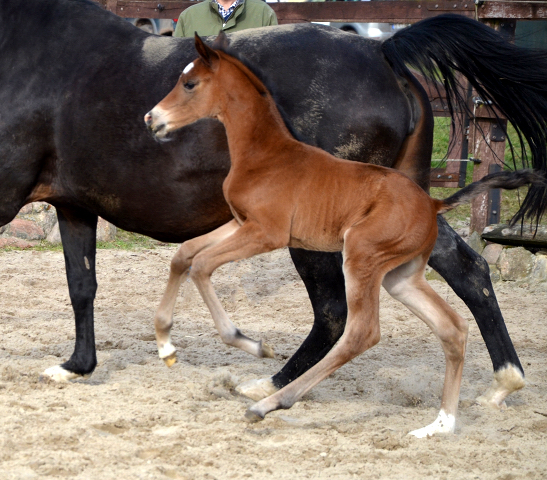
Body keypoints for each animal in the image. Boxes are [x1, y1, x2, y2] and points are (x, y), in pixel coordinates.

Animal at [144, 33, 544, 436]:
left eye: (189, 84)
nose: (152, 118)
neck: (266, 155)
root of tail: (434, 203)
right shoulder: (240, 223)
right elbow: (184, 255)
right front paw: (165, 345)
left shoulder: (266, 233)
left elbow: (201, 265)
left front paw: (250, 343)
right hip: (401, 277)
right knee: (452, 327)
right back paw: (440, 425)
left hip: (362, 257)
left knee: (362, 332)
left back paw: (268, 404)